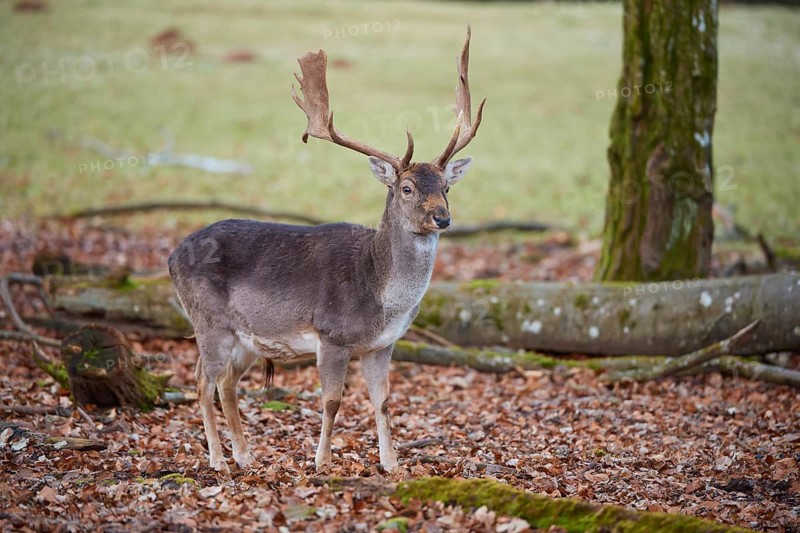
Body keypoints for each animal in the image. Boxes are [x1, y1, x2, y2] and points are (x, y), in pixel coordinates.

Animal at [168, 27, 484, 473]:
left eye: (446, 187)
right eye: (407, 188)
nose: (443, 218)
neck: (377, 291)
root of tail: (171, 255)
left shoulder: (383, 344)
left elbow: (384, 402)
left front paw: (392, 464)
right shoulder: (331, 335)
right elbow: (333, 401)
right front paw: (322, 462)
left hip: (247, 337)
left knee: (227, 382)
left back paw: (245, 455)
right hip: (207, 320)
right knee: (201, 380)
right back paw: (217, 459)